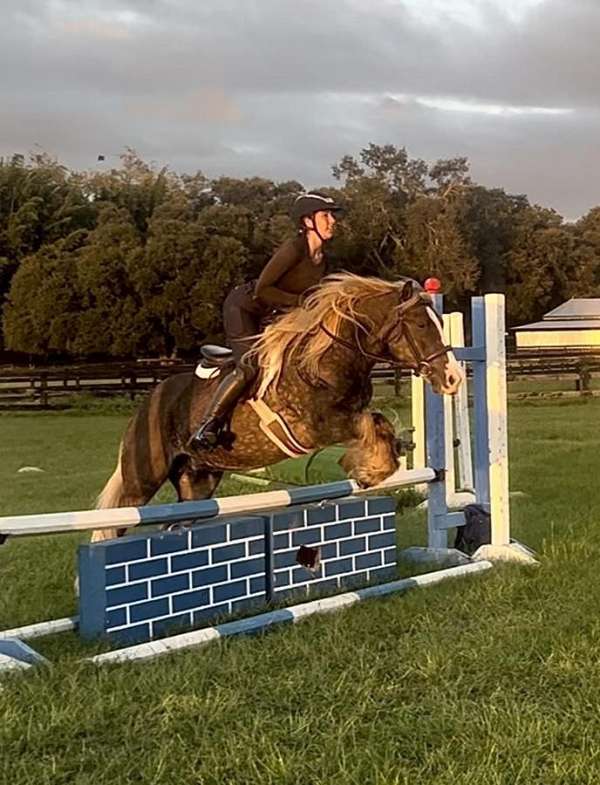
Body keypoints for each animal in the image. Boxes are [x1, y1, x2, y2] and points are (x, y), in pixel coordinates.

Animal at [91, 272, 462, 544]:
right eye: (420, 325)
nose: (453, 378)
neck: (328, 359)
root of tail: (147, 403)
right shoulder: (319, 426)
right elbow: (370, 424)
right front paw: (370, 470)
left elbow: (378, 422)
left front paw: (372, 465)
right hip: (142, 481)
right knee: (115, 523)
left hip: (198, 480)